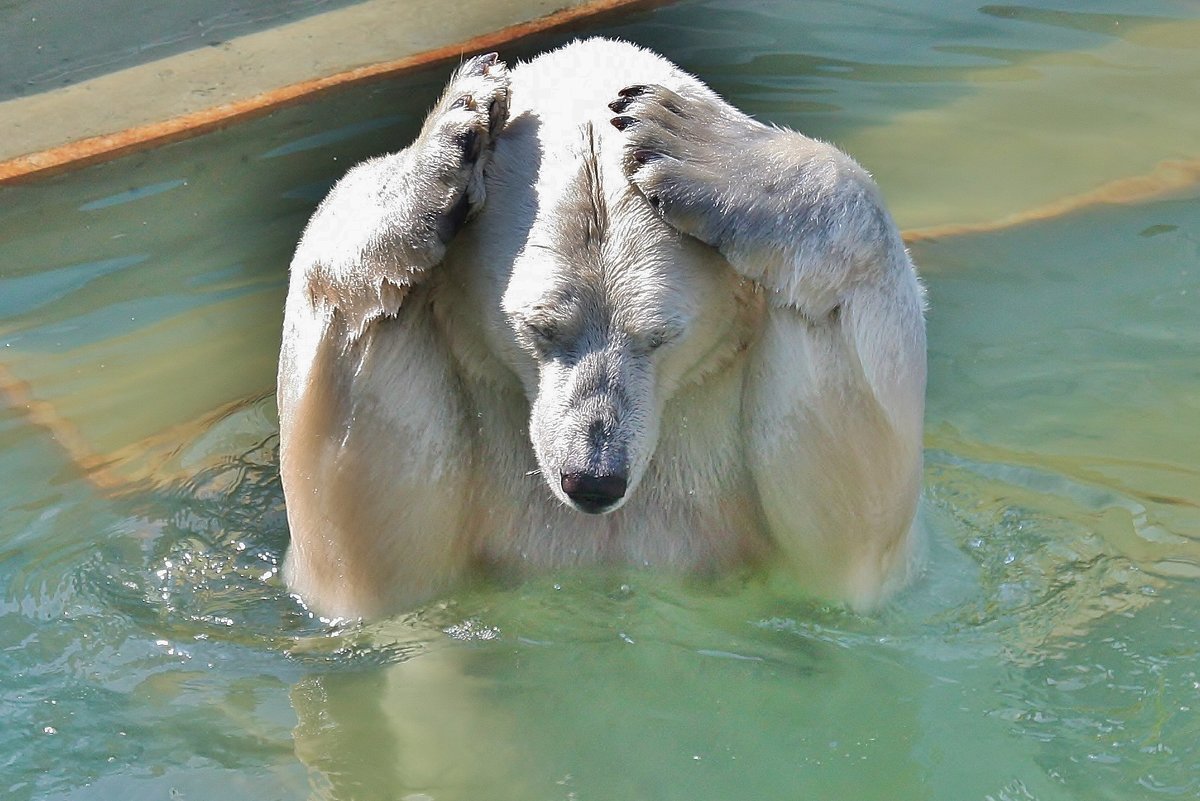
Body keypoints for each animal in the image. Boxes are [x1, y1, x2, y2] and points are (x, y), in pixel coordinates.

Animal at [276, 37, 921, 618]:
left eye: (660, 337)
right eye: (540, 328)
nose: (593, 479)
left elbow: (852, 517)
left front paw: (692, 144)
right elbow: (361, 543)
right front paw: (449, 139)